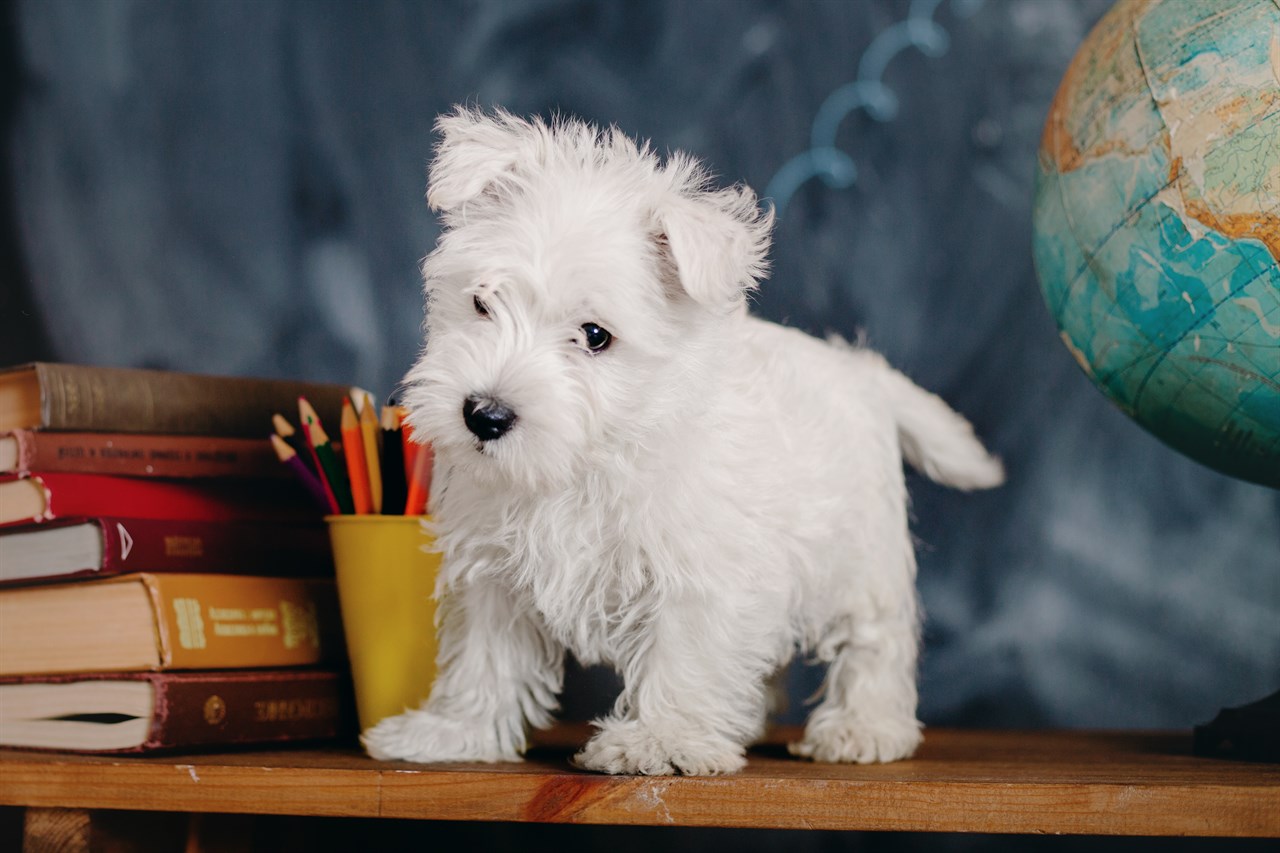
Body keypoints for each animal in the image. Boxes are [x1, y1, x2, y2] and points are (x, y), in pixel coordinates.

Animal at [358, 104, 998, 768]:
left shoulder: (699, 576)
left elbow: (681, 657)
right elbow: (482, 660)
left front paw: (658, 739)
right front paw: (453, 732)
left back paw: (862, 727)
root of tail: (862, 371)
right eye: (483, 302)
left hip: (862, 562)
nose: (484, 415)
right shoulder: (492, 571)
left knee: (874, 643)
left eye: (594, 335)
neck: (585, 462)